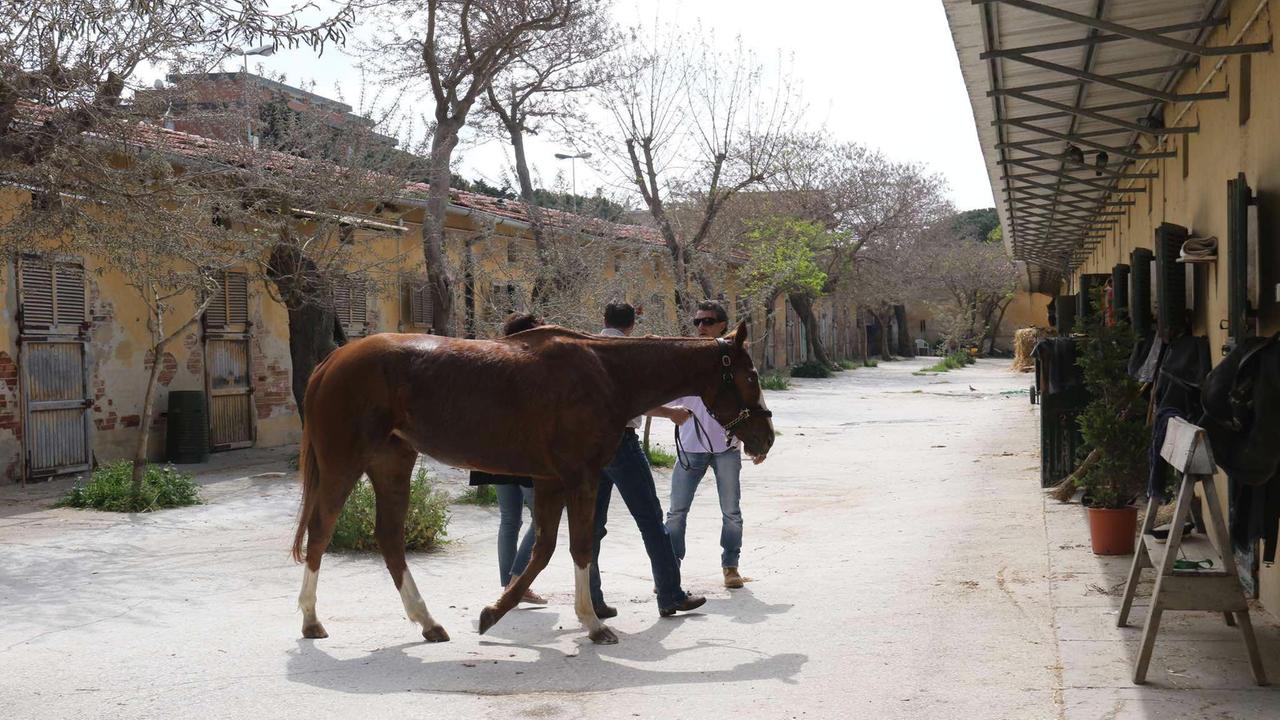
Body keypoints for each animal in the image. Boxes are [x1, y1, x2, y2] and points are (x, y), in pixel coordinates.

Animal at [291, 320, 774, 645]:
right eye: (750, 376)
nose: (766, 436)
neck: (607, 372)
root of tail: (332, 361)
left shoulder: (549, 481)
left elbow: (542, 551)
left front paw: (493, 612)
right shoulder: (580, 478)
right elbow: (578, 547)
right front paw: (593, 623)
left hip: (391, 464)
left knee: (390, 540)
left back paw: (428, 622)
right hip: (343, 465)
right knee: (321, 534)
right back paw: (311, 621)